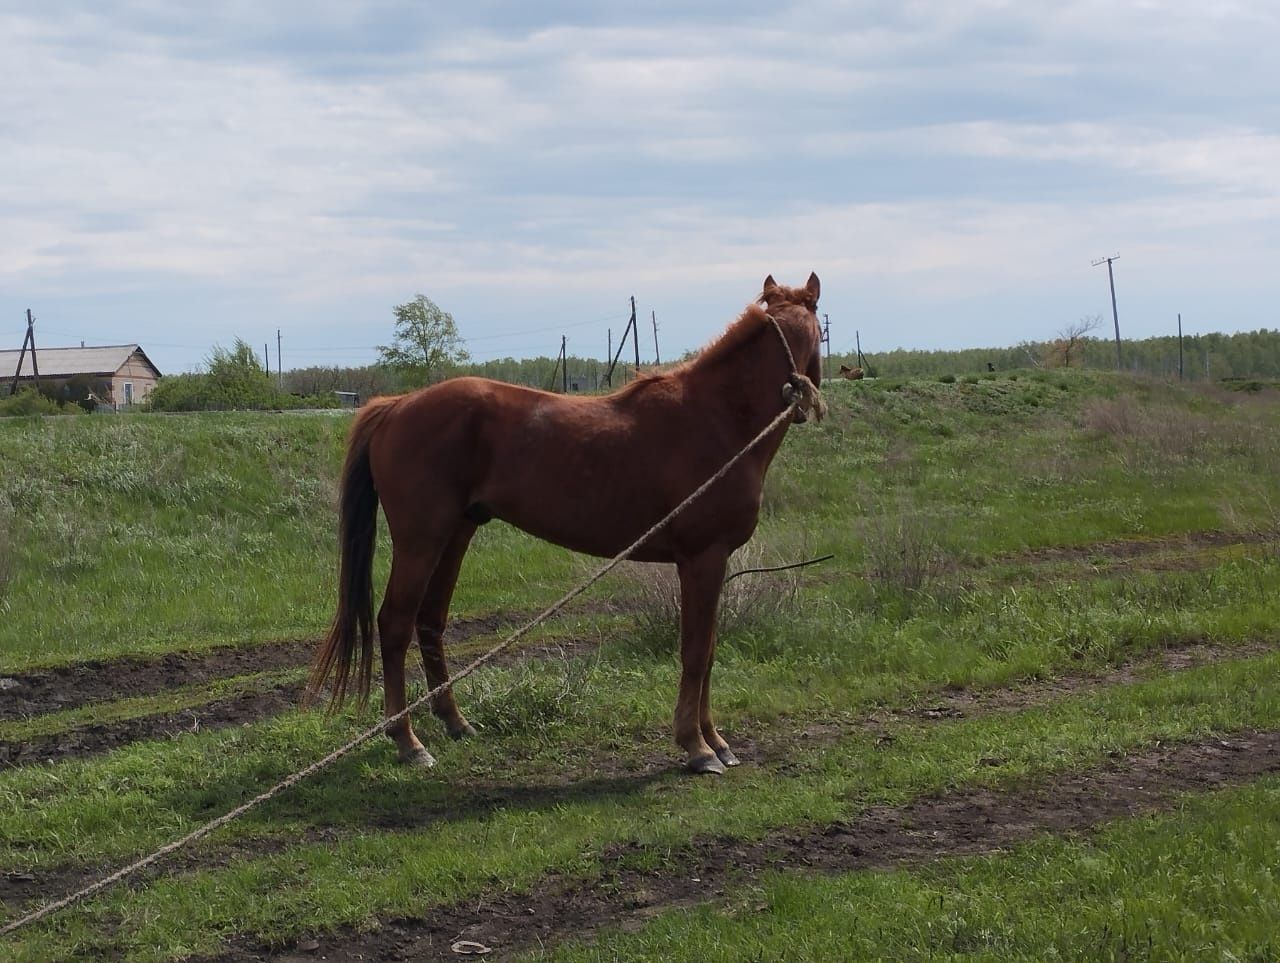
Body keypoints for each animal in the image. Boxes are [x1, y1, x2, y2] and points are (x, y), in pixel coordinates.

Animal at [314, 272, 824, 773]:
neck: (717, 417)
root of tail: (398, 405)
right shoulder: (703, 558)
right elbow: (697, 652)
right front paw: (697, 746)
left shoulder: (710, 563)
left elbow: (711, 649)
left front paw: (716, 740)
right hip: (421, 540)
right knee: (395, 624)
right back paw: (407, 741)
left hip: (455, 535)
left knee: (430, 622)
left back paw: (455, 722)